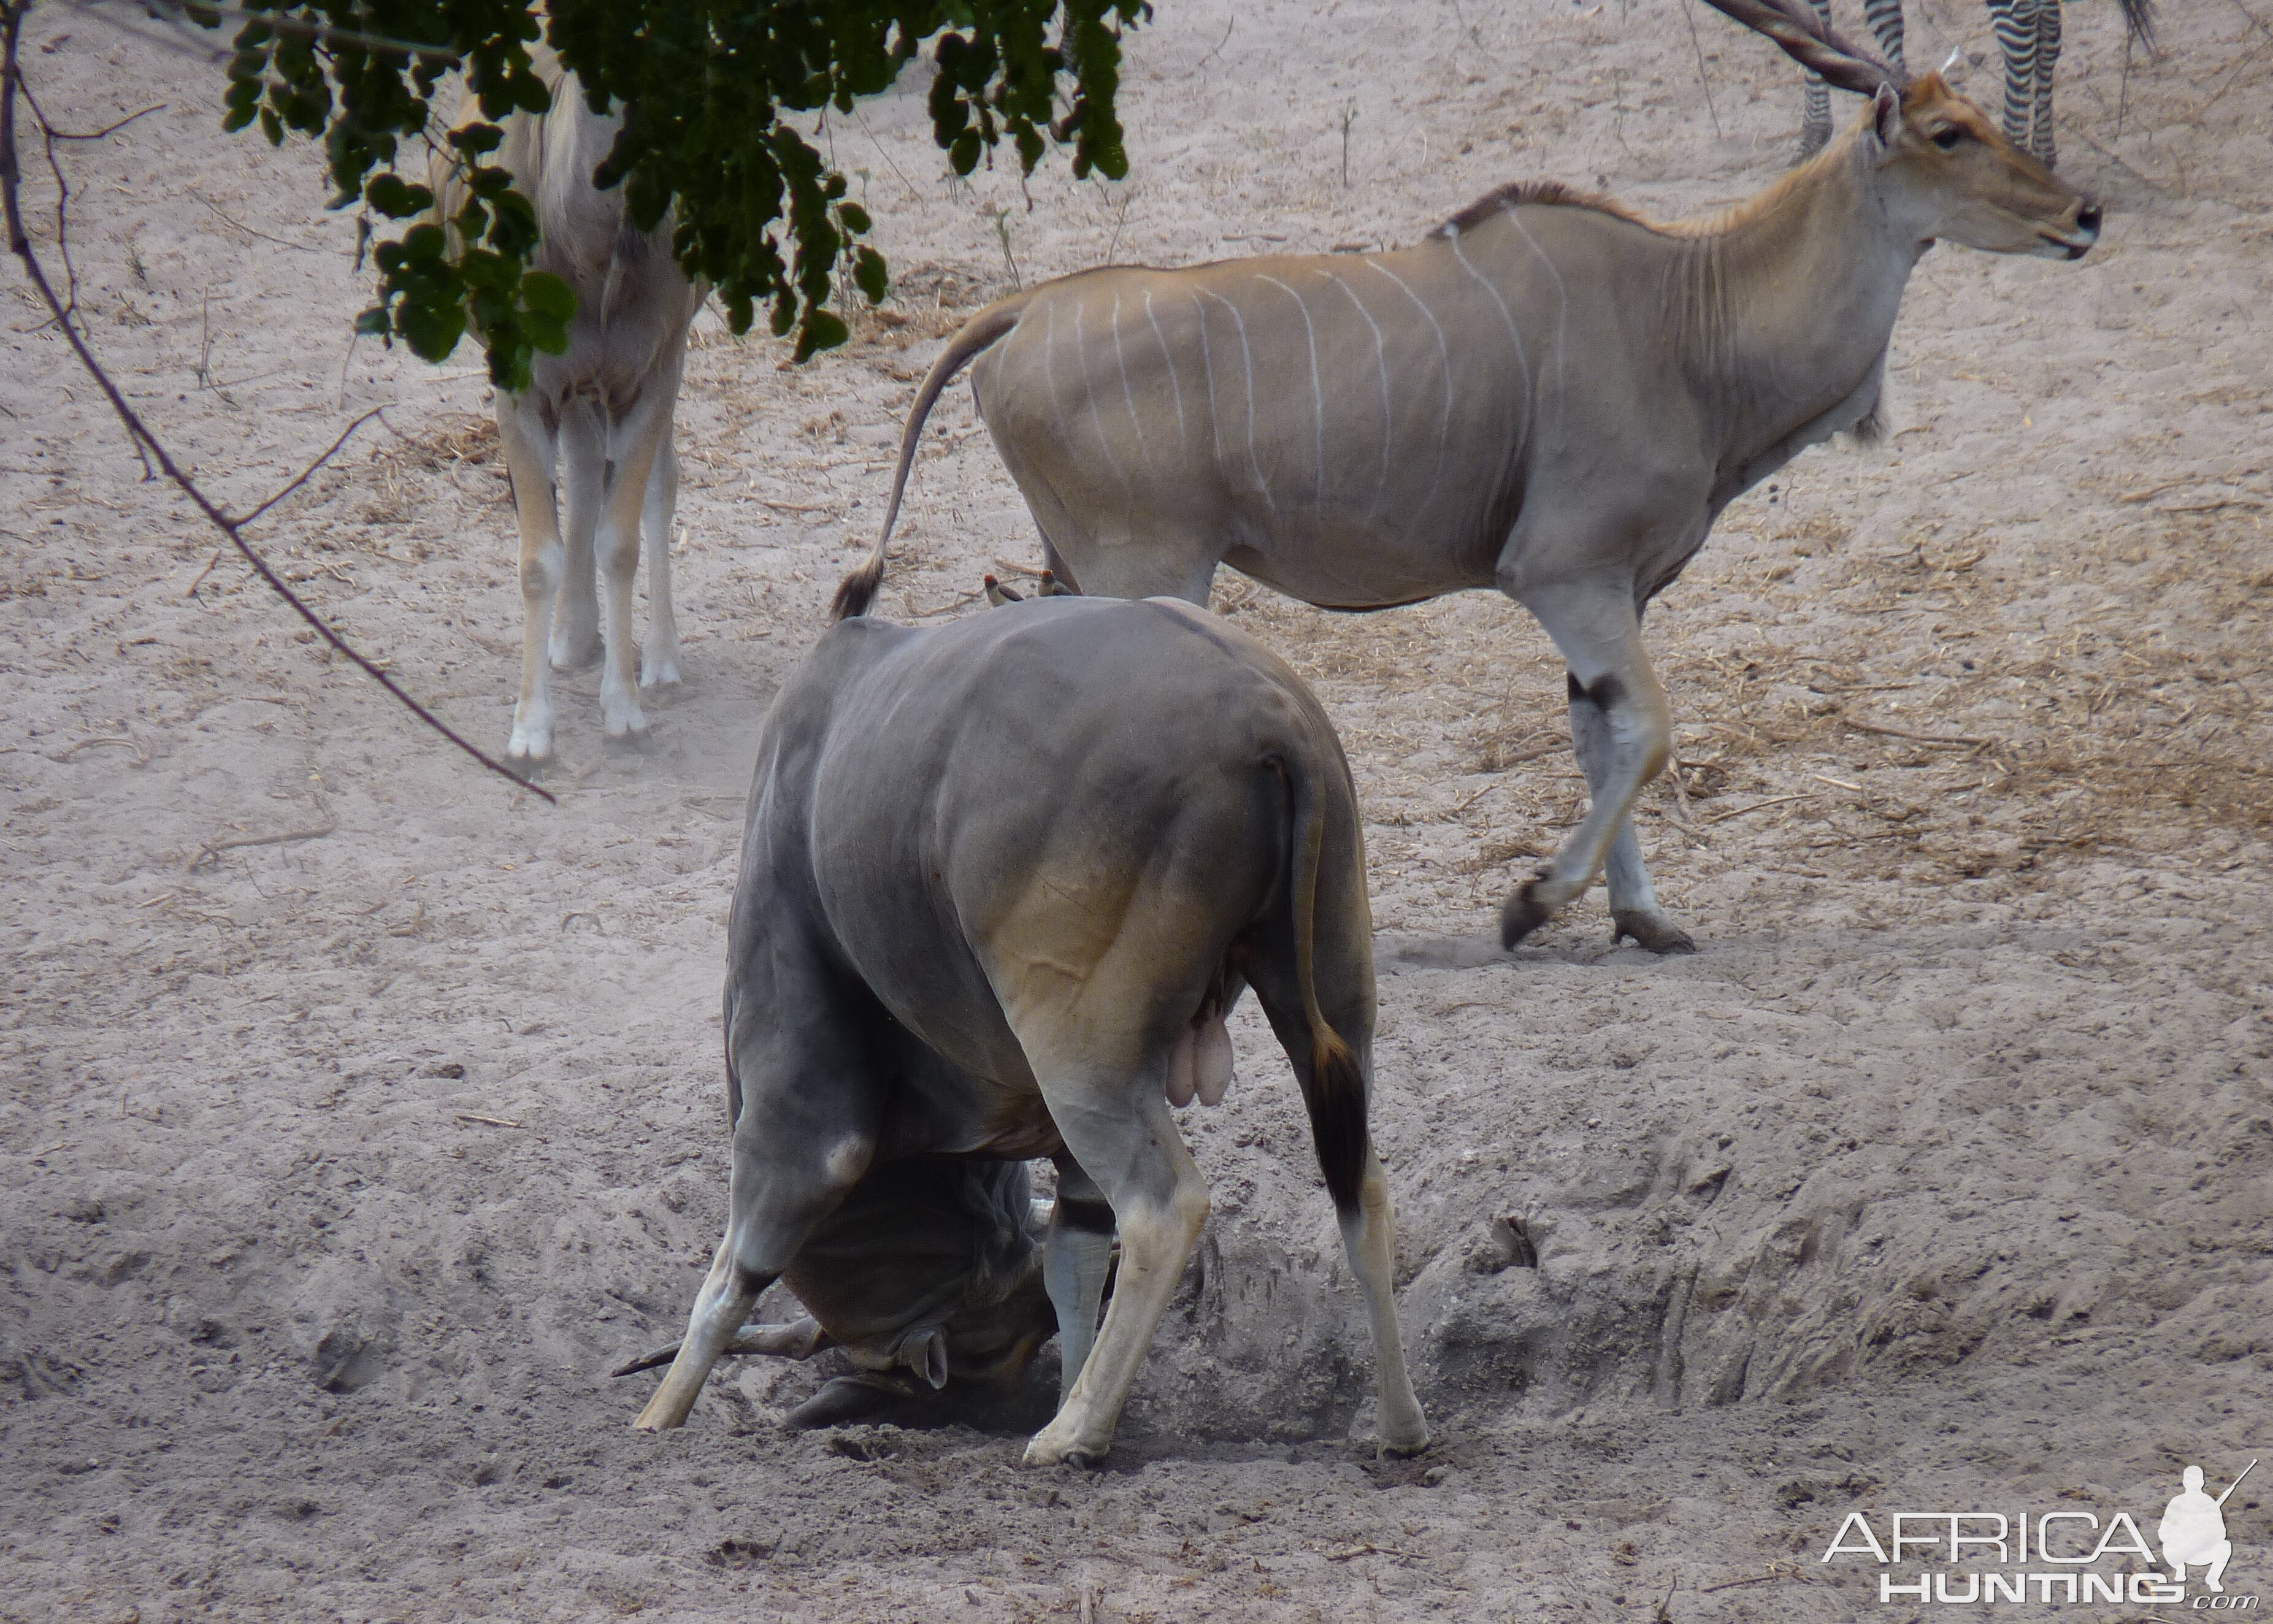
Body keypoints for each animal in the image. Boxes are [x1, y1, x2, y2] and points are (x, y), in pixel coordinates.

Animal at [434, 57, 700, 767]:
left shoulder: (651, 371)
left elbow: (621, 542)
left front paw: (625, 711)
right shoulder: (523, 385)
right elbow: (536, 561)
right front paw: (530, 732)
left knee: (657, 482)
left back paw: (659, 660)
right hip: (579, 390)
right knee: (582, 469)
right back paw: (573, 638)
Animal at [632, 590, 1427, 1471]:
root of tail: (1270, 713)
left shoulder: (799, 1110)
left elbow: (731, 1274)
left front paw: (654, 1420)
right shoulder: (1063, 1156)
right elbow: (1073, 1256)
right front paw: (1078, 1384)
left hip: (1084, 1064)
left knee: (1164, 1208)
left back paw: (1073, 1434)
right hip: (1331, 1004)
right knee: (1360, 1185)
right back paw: (1397, 1425)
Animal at [845, 6, 2100, 958]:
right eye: (1947, 132)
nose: (2082, 213)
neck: (1692, 315)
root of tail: (1021, 310)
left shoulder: (1620, 589)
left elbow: (1603, 733)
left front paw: (1642, 918)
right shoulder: (1564, 571)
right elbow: (1649, 728)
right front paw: (1531, 902)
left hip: (1079, 563)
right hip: (1147, 564)